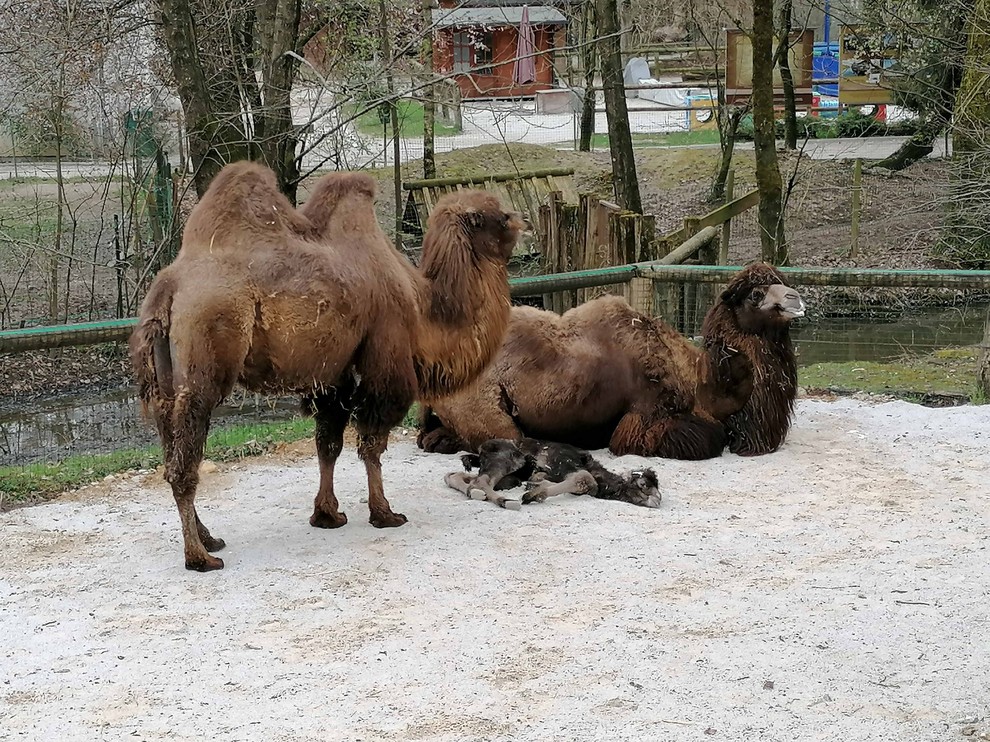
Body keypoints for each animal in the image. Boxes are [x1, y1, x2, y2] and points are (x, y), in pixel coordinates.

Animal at [130, 160, 528, 572]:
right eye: (497, 216)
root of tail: (169, 289)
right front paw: (385, 514)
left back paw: (209, 538)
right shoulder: (386, 360)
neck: (422, 308)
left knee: (170, 448)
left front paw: (327, 515)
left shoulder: (334, 375)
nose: (523, 220)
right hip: (206, 351)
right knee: (184, 459)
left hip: (164, 382)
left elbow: (328, 444)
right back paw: (200, 556)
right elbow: (371, 444)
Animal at [418, 262, 808, 460]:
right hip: (490, 411)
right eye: (755, 294)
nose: (796, 298)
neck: (703, 380)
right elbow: (709, 438)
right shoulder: (648, 419)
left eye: (783, 281)